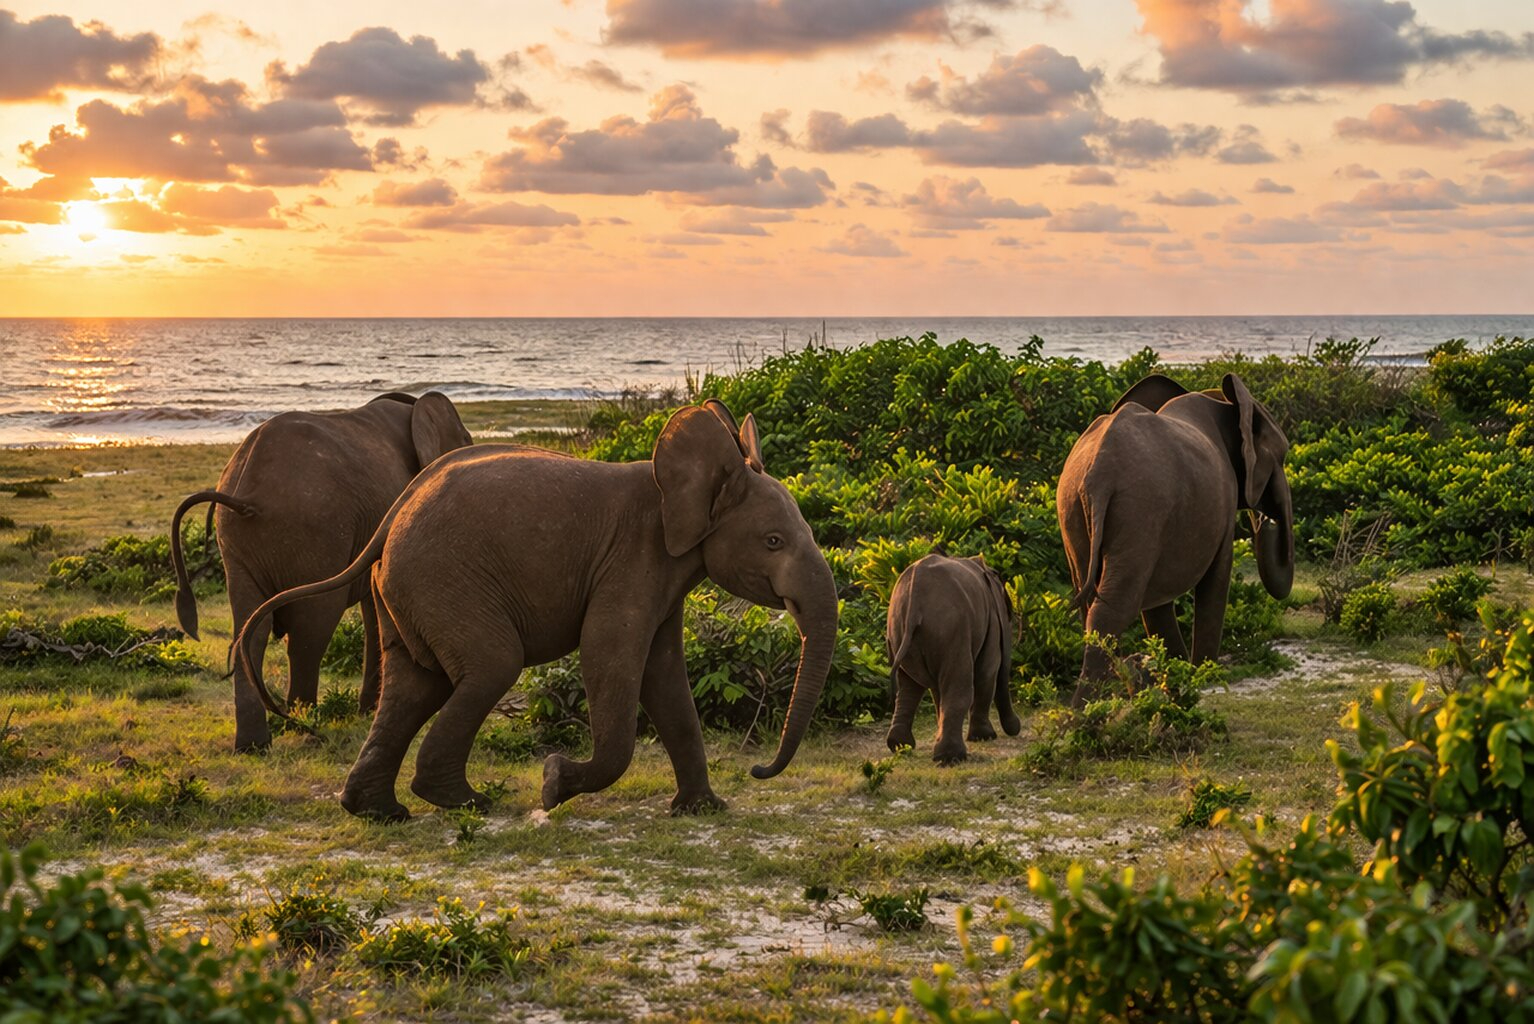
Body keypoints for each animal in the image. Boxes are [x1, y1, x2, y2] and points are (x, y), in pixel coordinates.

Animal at [170, 391, 473, 752]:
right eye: (466, 440)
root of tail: (245, 495)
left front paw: (366, 710)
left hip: (239, 542)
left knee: (252, 629)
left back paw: (255, 744)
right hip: (314, 533)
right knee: (312, 628)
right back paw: (304, 721)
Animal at [233, 400, 839, 822]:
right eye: (774, 542)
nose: (759, 769)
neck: (674, 484)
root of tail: (394, 514)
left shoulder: (662, 580)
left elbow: (665, 676)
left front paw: (703, 810)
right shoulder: (630, 562)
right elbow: (610, 658)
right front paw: (554, 783)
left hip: (406, 591)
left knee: (414, 685)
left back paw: (382, 812)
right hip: (443, 581)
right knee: (490, 666)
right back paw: (462, 801)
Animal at [885, 553, 1021, 764]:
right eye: (1008, 615)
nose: (1017, 727)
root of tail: (914, 601)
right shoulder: (991, 620)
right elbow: (987, 672)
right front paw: (985, 737)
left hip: (898, 631)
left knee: (909, 686)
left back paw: (900, 747)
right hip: (951, 630)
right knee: (959, 686)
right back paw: (950, 758)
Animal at [1055, 372, 1294, 705]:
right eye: (1282, 455)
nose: (1265, 519)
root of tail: (1098, 475)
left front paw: (1176, 677)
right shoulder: (1220, 505)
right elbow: (1216, 580)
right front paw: (1199, 676)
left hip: (1073, 507)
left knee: (1091, 602)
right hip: (1141, 508)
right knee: (1114, 606)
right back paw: (1086, 710)